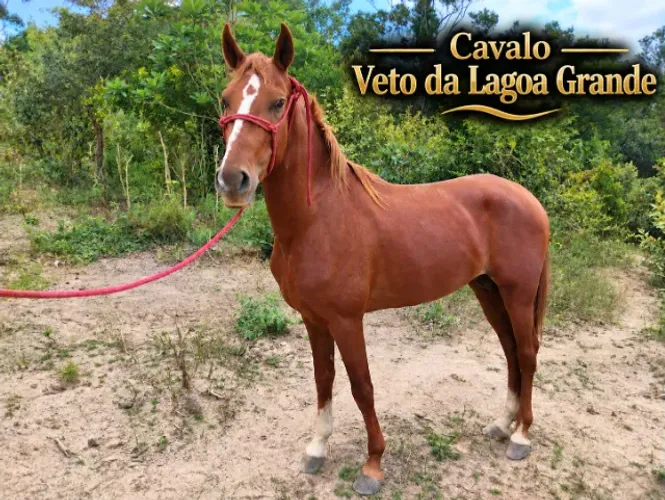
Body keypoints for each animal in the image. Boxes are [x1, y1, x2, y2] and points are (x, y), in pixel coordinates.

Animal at [216, 23, 550, 496]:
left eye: (277, 102)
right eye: (226, 100)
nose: (232, 180)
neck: (318, 219)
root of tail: (529, 200)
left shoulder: (346, 319)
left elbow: (362, 386)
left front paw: (372, 465)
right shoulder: (313, 319)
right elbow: (323, 380)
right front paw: (317, 448)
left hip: (518, 294)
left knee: (527, 352)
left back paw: (521, 436)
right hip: (488, 291)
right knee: (509, 353)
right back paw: (503, 425)